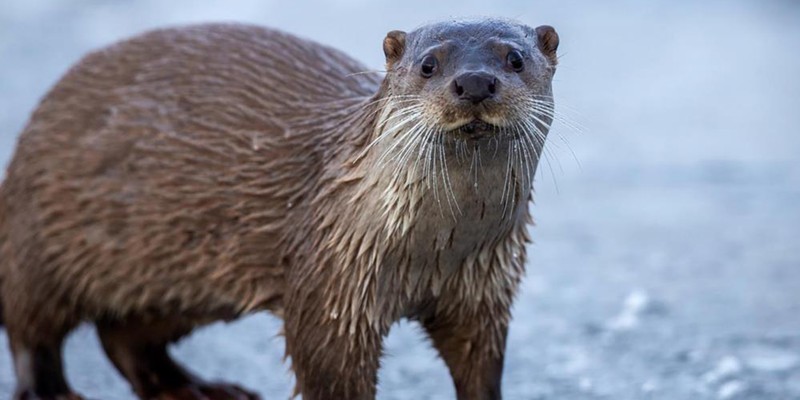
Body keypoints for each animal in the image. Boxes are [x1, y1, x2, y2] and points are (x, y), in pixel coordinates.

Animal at [0, 18, 560, 400]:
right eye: (429, 65)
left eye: (514, 59)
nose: (475, 82)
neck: (435, 252)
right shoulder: (331, 283)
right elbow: (327, 367)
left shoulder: (485, 286)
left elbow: (481, 365)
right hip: (39, 233)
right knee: (31, 325)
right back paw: (52, 390)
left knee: (123, 336)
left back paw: (195, 388)